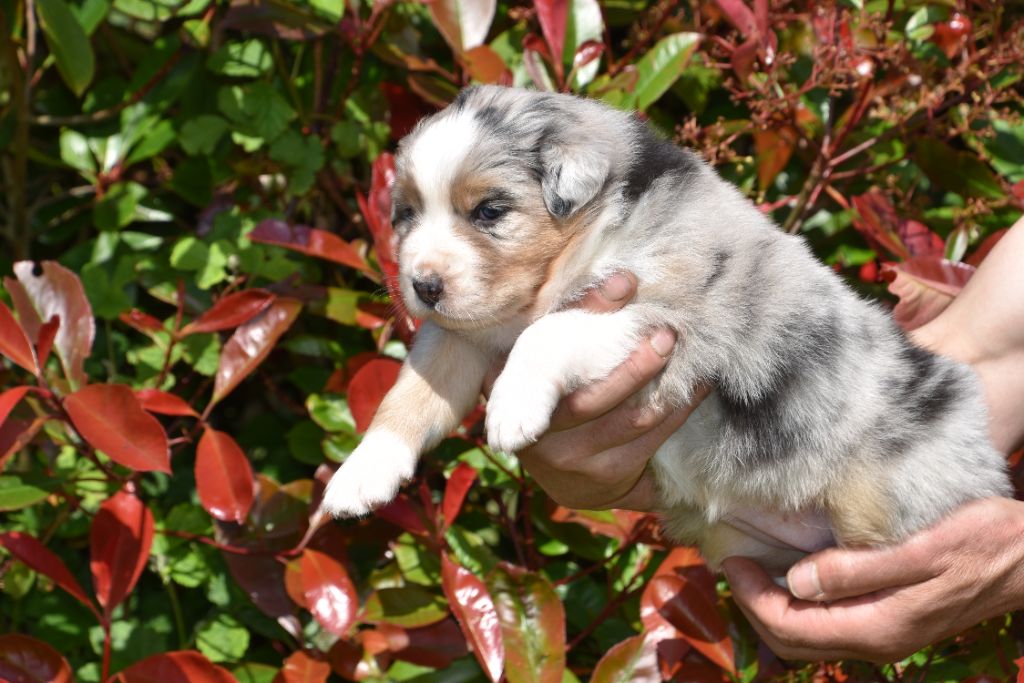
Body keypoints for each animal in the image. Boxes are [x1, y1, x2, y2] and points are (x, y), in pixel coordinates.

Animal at [319, 85, 1010, 574]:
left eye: (489, 211)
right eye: (406, 214)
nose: (422, 286)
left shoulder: (683, 323)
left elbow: (553, 332)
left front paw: (512, 410)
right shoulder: (460, 334)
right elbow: (410, 393)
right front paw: (360, 473)